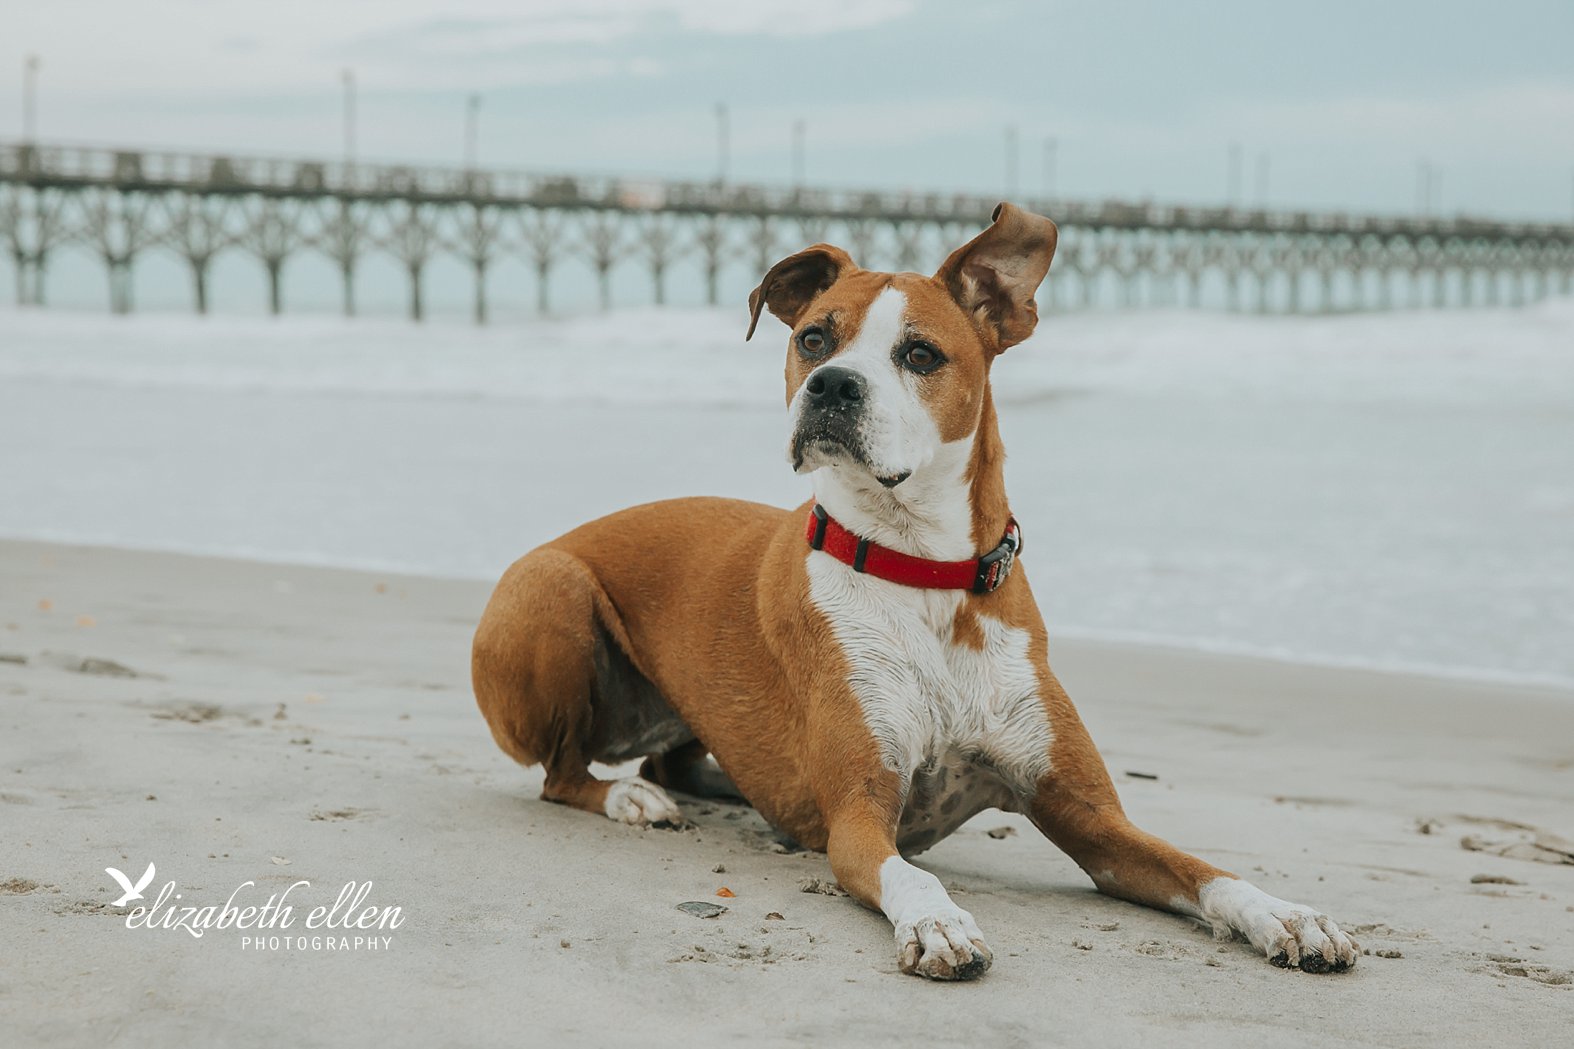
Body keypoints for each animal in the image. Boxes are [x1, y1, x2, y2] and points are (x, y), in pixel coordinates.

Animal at [472, 206, 1359, 982]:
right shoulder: (864, 819)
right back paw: (630, 797)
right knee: (562, 773)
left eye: (921, 355)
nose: (831, 385)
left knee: (677, 758)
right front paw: (939, 923)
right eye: (813, 338)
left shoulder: (1095, 822)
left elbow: (1202, 869)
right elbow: (911, 873)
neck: (927, 576)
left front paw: (1287, 914)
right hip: (550, 588)